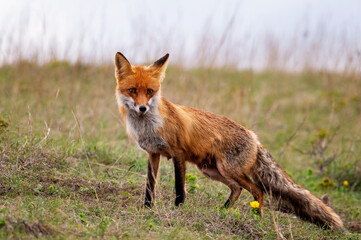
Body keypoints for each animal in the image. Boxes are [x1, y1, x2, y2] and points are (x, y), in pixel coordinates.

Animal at [114, 52, 342, 229]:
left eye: (150, 91)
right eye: (132, 90)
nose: (142, 108)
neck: (149, 126)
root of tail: (254, 137)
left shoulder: (178, 153)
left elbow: (179, 188)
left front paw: (177, 210)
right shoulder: (153, 153)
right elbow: (149, 186)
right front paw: (147, 209)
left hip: (229, 169)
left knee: (258, 191)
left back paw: (256, 219)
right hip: (213, 170)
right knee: (237, 189)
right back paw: (223, 211)